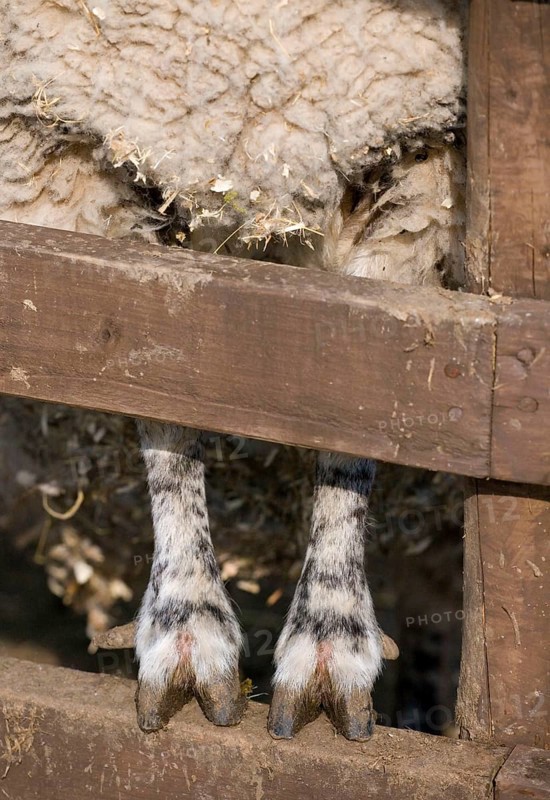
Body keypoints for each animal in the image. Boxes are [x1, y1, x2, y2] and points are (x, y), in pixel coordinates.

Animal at [0, 0, 465, 739]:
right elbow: (163, 407)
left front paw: (330, 638)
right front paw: (187, 628)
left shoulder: (419, 158)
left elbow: (359, 409)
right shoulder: (82, 144)